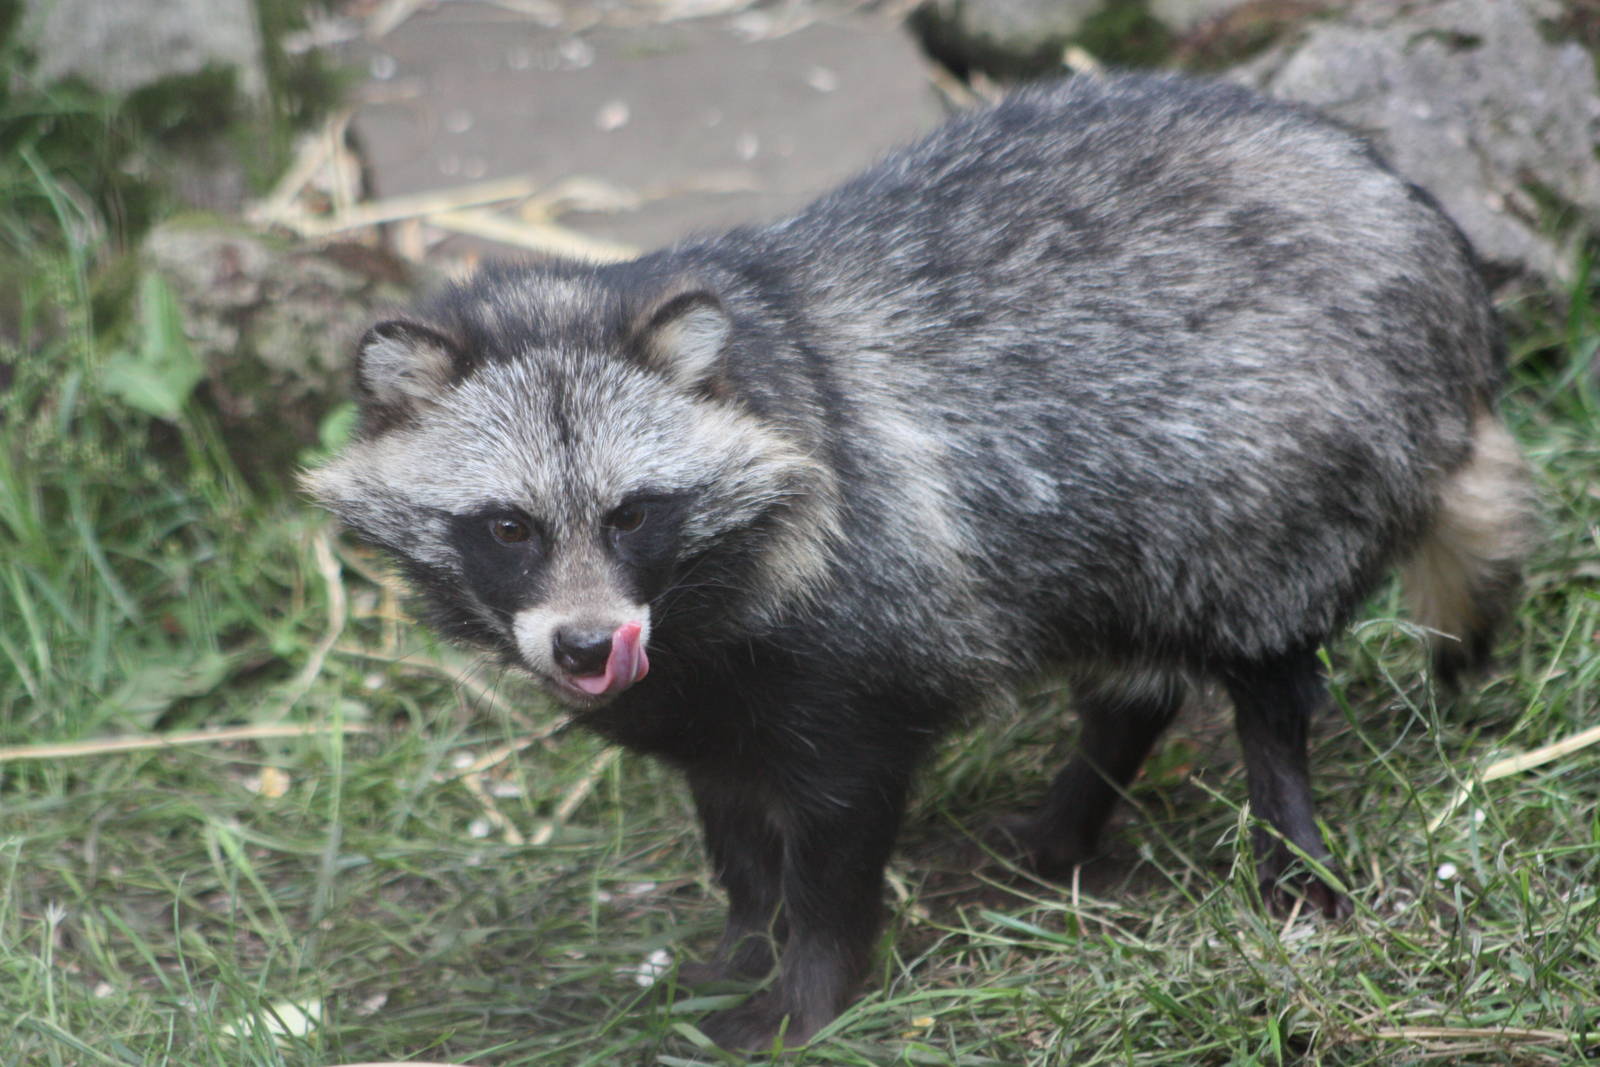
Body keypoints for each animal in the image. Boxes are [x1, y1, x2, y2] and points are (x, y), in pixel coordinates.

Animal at [304, 72, 1535, 1049]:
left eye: (632, 515)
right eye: (508, 526)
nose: (586, 644)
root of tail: (1421, 225)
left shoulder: (859, 644)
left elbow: (834, 847)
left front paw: (806, 992)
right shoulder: (711, 702)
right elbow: (736, 837)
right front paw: (741, 949)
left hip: (1272, 475)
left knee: (1265, 672)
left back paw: (1287, 835)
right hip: (1115, 528)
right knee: (1128, 664)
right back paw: (1070, 812)